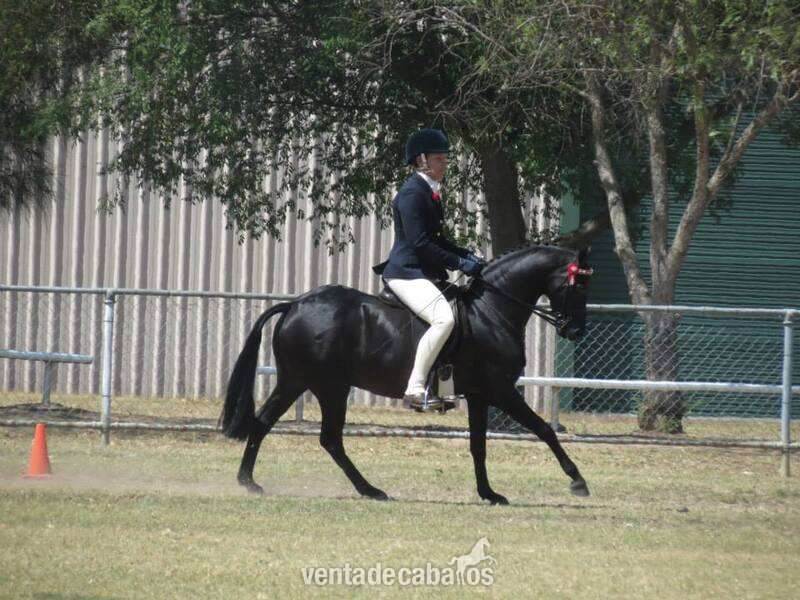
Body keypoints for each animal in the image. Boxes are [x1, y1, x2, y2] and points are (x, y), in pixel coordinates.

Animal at [220, 244, 593, 504]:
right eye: (577, 287)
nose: (575, 331)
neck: (490, 312)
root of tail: (296, 304)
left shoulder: (479, 395)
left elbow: (479, 446)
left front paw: (489, 493)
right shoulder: (501, 391)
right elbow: (544, 429)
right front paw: (578, 481)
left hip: (298, 381)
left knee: (269, 423)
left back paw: (249, 481)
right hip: (328, 387)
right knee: (326, 438)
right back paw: (369, 490)